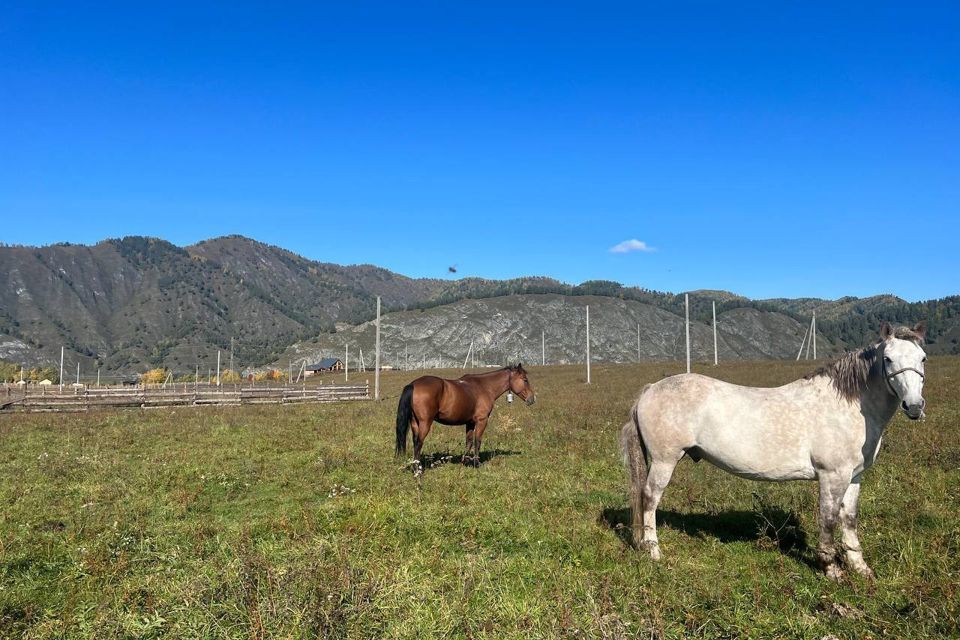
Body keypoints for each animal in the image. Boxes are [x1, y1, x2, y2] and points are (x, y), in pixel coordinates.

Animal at [394, 362, 536, 472]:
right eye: (525, 380)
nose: (531, 399)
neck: (484, 387)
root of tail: (413, 384)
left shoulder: (470, 422)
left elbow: (468, 441)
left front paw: (465, 462)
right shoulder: (482, 421)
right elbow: (477, 441)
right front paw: (476, 463)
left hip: (415, 423)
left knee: (415, 442)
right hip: (425, 423)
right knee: (419, 443)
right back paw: (418, 469)